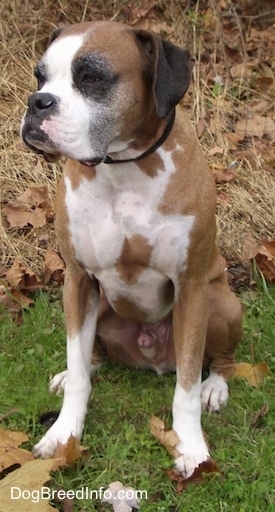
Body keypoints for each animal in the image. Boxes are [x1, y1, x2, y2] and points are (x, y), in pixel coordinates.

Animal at [21, 19, 244, 476]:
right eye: (40, 76)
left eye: (92, 77)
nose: (37, 102)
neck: (122, 168)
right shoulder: (77, 280)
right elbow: (79, 368)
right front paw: (64, 432)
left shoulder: (191, 288)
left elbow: (187, 386)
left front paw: (191, 446)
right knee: (87, 354)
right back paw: (74, 372)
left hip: (219, 302)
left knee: (219, 360)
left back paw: (216, 386)